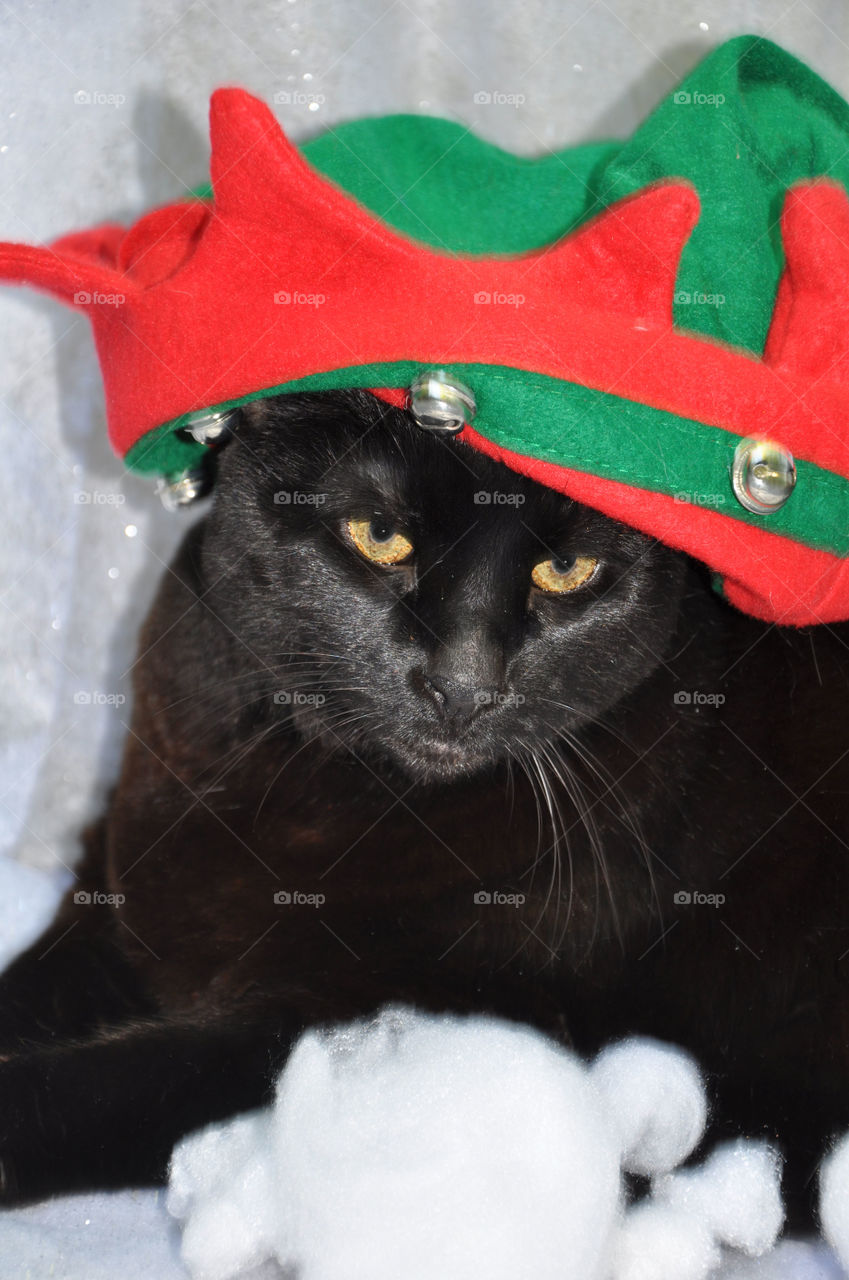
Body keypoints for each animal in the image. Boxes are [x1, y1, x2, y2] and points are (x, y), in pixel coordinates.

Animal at [1, 386, 849, 1218]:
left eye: (565, 568)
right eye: (380, 535)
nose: (463, 685)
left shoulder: (381, 1019)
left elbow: (115, 1085)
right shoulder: (107, 909)